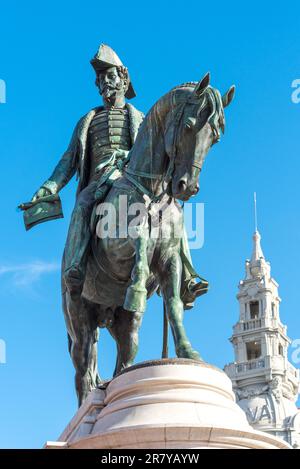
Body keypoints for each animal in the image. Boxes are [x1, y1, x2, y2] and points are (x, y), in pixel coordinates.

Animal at [61, 74, 234, 406]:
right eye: (189, 125)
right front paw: (139, 284)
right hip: (79, 318)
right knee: (83, 371)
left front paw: (187, 350)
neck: (151, 191)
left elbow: (175, 303)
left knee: (125, 355)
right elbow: (139, 241)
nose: (187, 187)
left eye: (216, 137)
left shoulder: (170, 260)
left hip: (122, 322)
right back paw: (87, 401)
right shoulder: (116, 250)